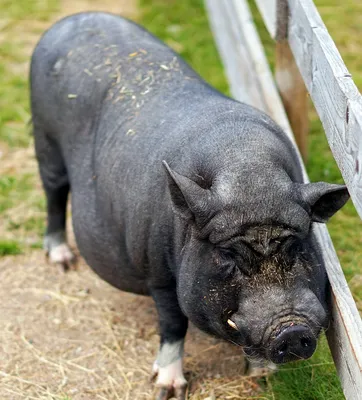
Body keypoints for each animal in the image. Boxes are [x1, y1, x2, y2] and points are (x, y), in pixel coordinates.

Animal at [31, 12, 350, 400]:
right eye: (228, 256)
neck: (248, 176)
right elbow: (173, 325)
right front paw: (167, 388)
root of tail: (71, 19)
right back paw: (61, 260)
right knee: (54, 195)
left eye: (297, 247)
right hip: (45, 142)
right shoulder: (158, 272)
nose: (291, 329)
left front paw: (261, 377)